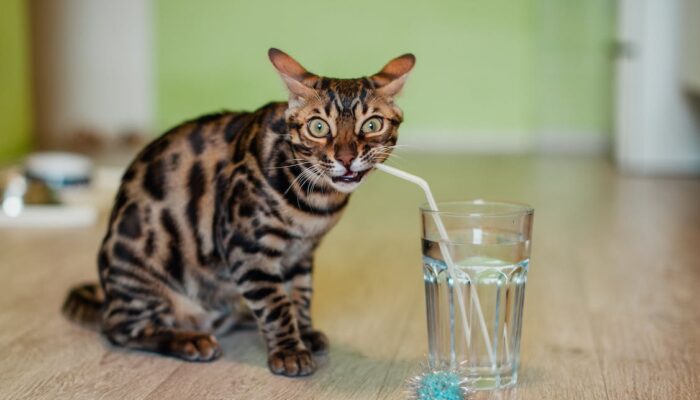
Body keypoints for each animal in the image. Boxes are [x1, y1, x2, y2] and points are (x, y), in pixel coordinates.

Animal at [61, 48, 416, 376]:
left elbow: (299, 295)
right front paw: (289, 351)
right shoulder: (248, 247)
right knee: (119, 328)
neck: (316, 202)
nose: (345, 158)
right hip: (141, 275)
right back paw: (188, 340)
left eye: (372, 124)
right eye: (318, 127)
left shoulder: (301, 254)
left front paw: (303, 332)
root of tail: (107, 296)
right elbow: (276, 305)